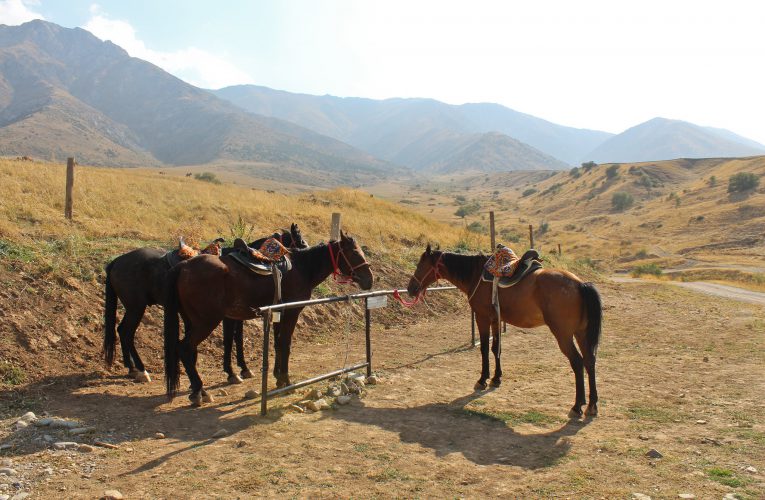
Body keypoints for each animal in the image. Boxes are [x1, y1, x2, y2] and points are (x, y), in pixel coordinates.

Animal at [103, 224, 308, 382]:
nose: (305, 248)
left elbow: (237, 338)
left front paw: (242, 368)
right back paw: (140, 369)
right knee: (126, 332)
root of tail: (116, 261)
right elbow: (230, 339)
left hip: (134, 308)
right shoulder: (229, 316)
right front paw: (233, 372)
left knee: (121, 330)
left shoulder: (235, 315)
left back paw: (131, 368)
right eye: (299, 238)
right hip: (136, 308)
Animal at [164, 231, 374, 406]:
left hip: (191, 320)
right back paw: (200, 391)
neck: (302, 268)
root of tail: (183, 266)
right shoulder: (291, 313)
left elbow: (277, 344)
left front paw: (277, 376)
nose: (370, 279)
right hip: (206, 322)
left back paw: (197, 389)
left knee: (187, 350)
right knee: (184, 348)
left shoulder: (278, 313)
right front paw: (285, 380)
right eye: (354, 253)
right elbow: (285, 344)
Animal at [408, 245, 600, 418]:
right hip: (581, 333)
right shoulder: (496, 319)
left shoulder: (482, 318)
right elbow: (496, 349)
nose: (410, 288)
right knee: (590, 361)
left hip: (564, 335)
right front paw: (496, 378)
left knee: (578, 362)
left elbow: (484, 349)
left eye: (420, 264)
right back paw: (592, 405)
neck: (475, 275)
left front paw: (483, 380)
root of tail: (580, 284)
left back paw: (577, 406)